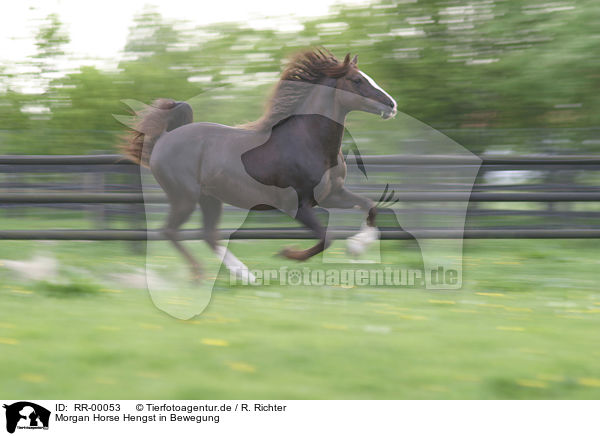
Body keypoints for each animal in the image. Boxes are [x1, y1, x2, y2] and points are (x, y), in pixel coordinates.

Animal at [123, 50, 396, 282]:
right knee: (169, 231)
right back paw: (201, 275)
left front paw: (357, 246)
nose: (392, 105)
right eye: (356, 80)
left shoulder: (332, 195)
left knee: (207, 234)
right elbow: (326, 239)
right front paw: (287, 253)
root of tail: (164, 138)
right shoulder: (297, 206)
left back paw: (245, 275)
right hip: (184, 197)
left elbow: (370, 206)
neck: (307, 142)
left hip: (210, 198)